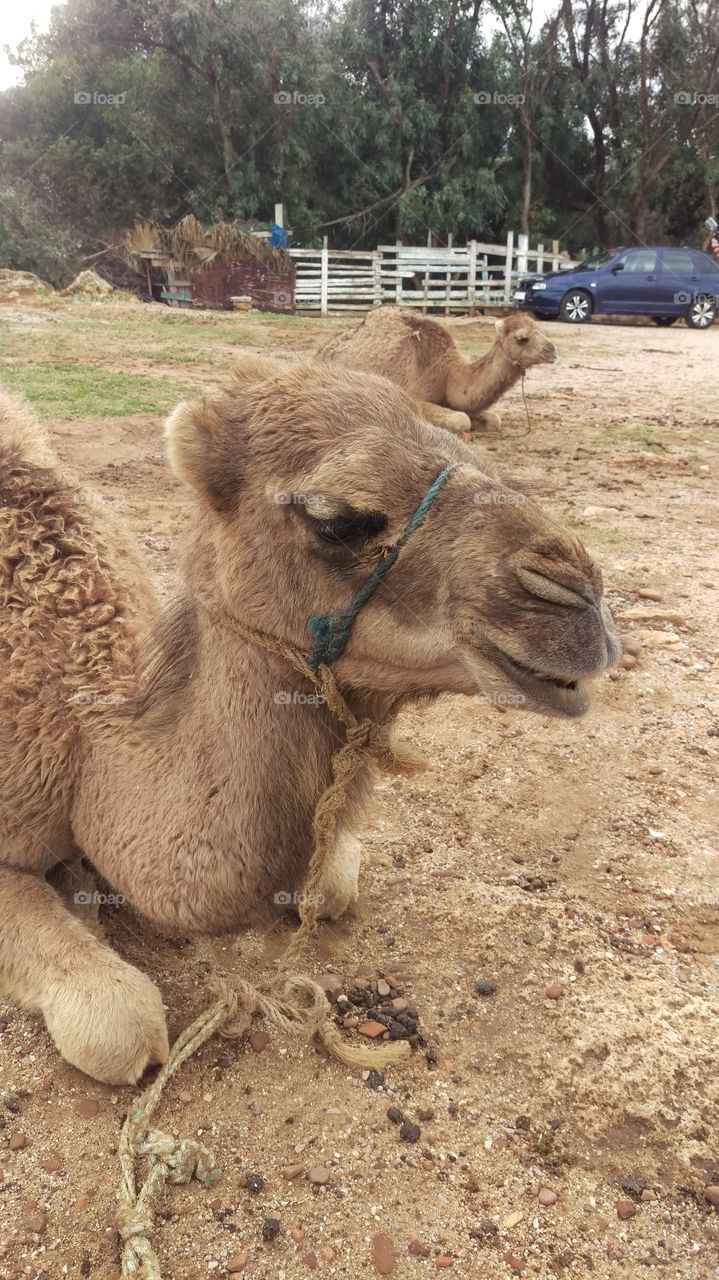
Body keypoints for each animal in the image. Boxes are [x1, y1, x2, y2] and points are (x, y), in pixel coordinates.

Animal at [0, 357, 618, 1085]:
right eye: (336, 520)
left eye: (479, 457)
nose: (578, 601)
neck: (85, 750)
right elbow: (118, 1028)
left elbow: (334, 879)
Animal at [319, 307, 556, 435]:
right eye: (521, 338)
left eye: (541, 329)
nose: (552, 350)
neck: (448, 375)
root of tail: (322, 351)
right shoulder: (414, 396)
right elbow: (462, 419)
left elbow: (493, 419)